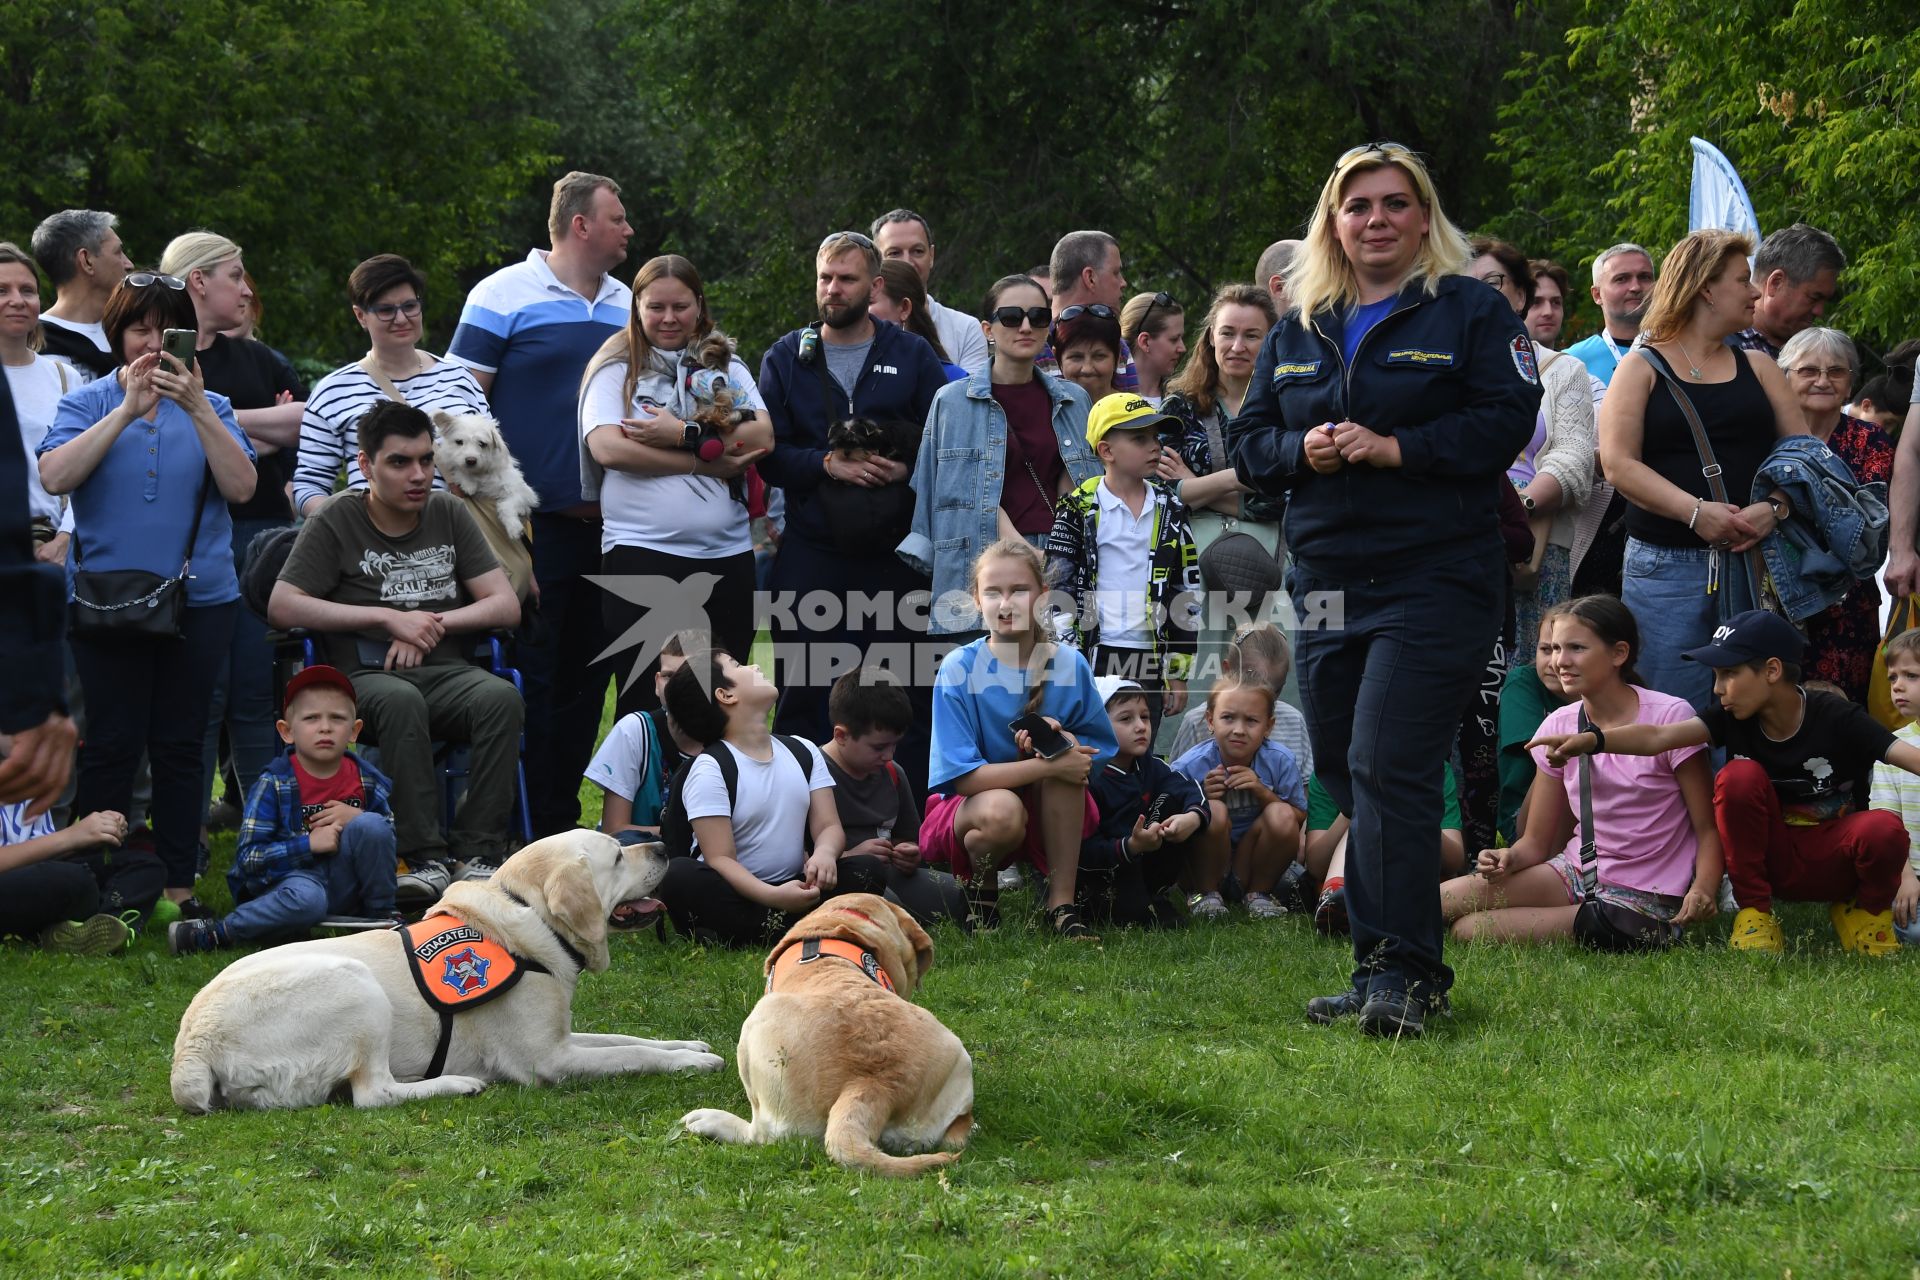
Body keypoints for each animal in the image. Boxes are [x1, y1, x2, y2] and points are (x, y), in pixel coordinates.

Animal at [165, 832, 718, 1113]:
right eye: (619, 856)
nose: (664, 847)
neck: (529, 915)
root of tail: (192, 1046)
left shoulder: (560, 1035)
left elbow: (627, 1038)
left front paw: (688, 1046)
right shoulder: (550, 1059)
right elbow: (631, 1054)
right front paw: (691, 1063)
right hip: (356, 985)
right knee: (372, 1094)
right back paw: (456, 1084)